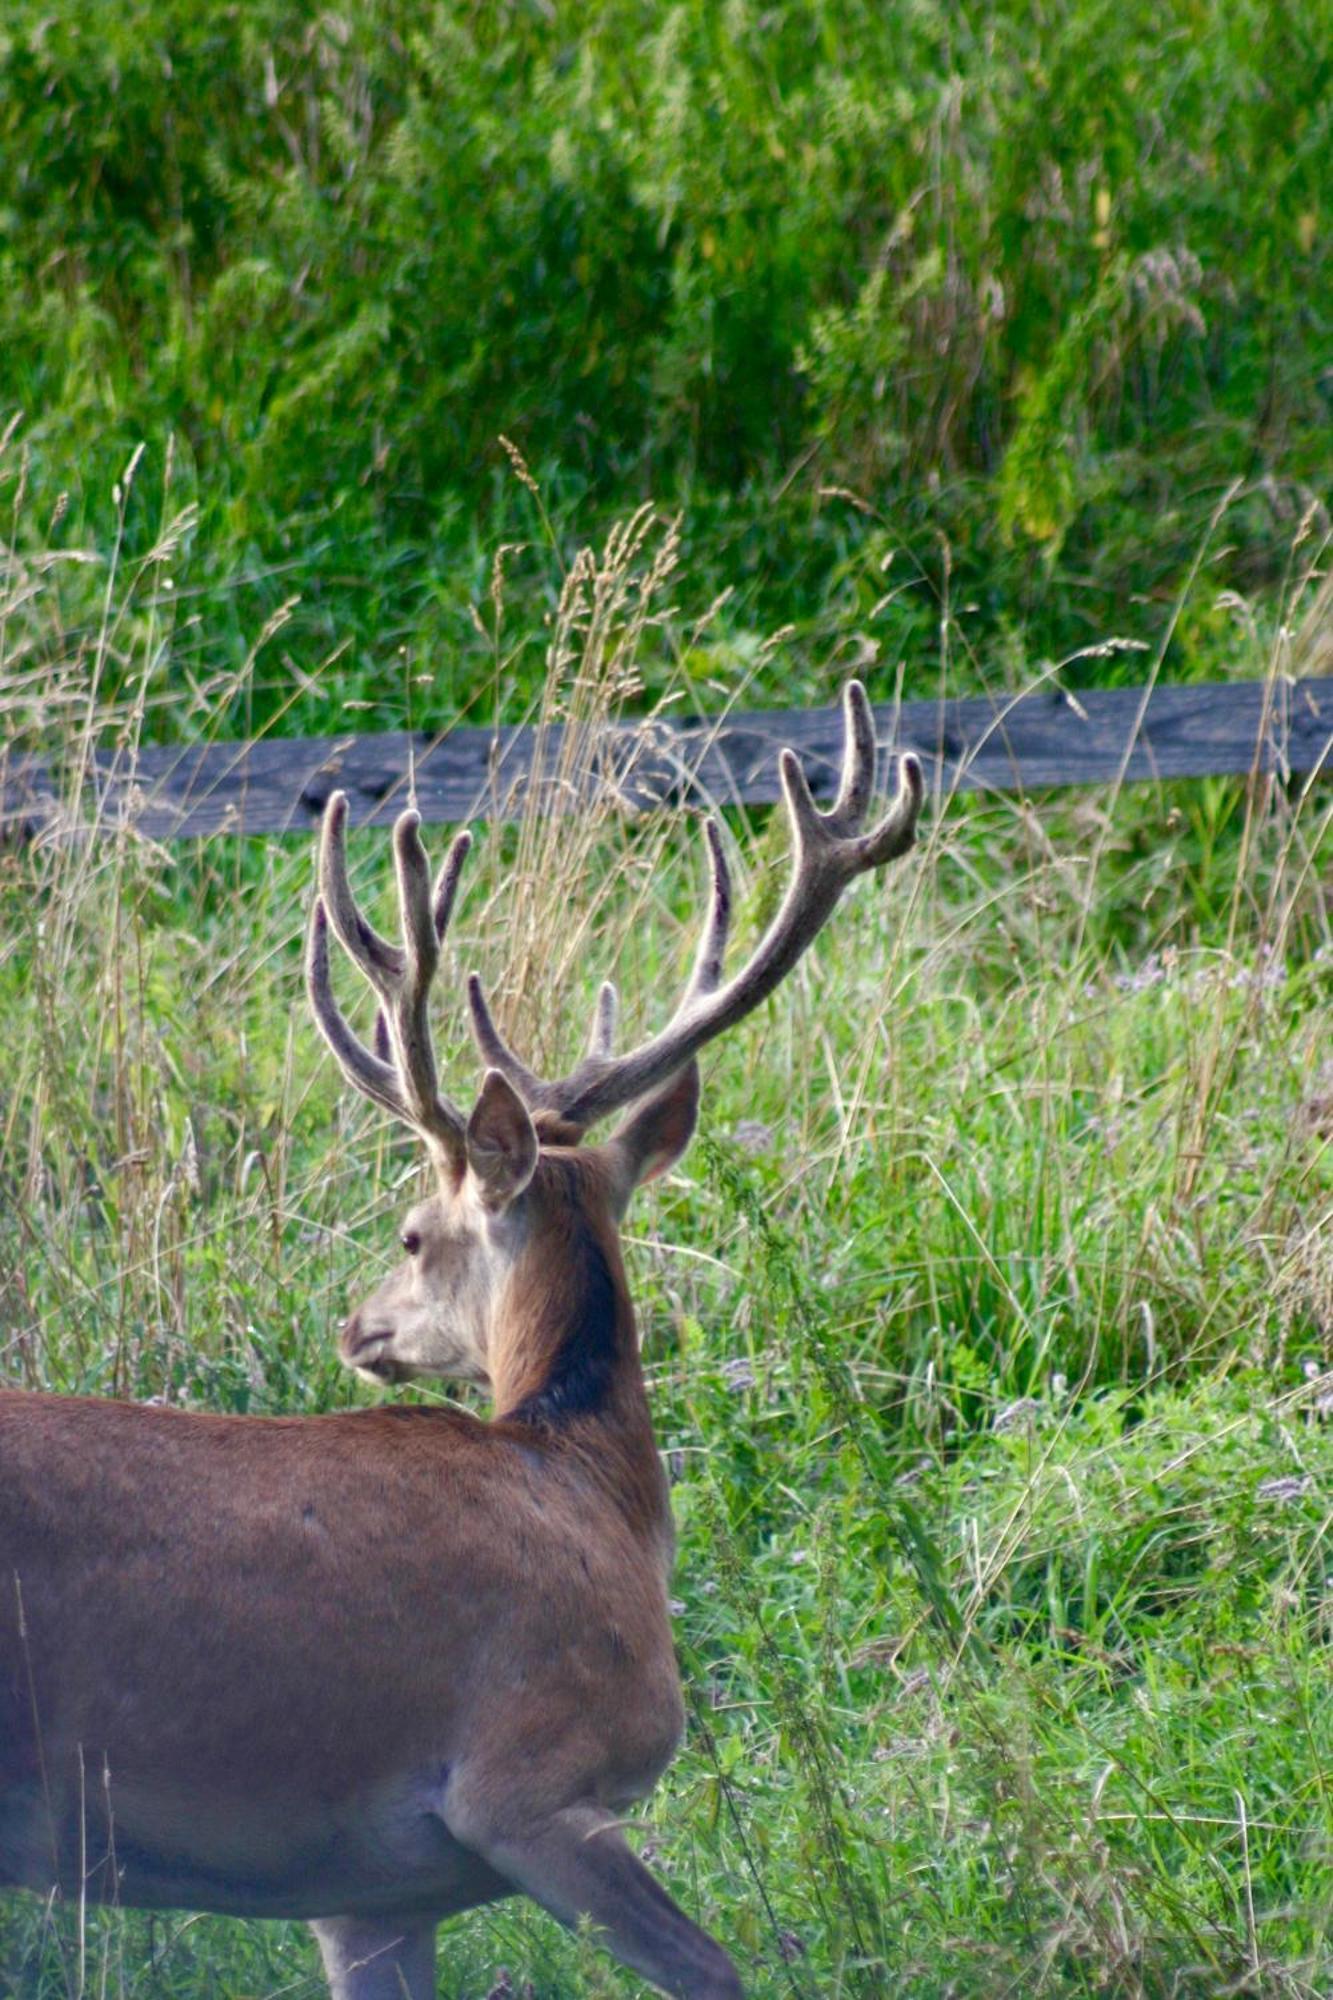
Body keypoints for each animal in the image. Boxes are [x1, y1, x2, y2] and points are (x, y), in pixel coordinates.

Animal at [0, 688, 912, 2000]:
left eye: (409, 1232)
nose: (356, 1323)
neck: (584, 1477)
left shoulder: (368, 1895)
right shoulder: (528, 1776)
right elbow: (718, 1970)